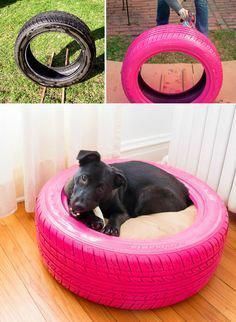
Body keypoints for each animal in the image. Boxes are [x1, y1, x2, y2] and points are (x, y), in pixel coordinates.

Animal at [64, 150, 192, 236]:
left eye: (101, 188)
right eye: (84, 178)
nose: (79, 205)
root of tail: (185, 191)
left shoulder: (123, 212)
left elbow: (115, 216)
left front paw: (111, 228)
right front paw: (93, 219)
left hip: (148, 193)